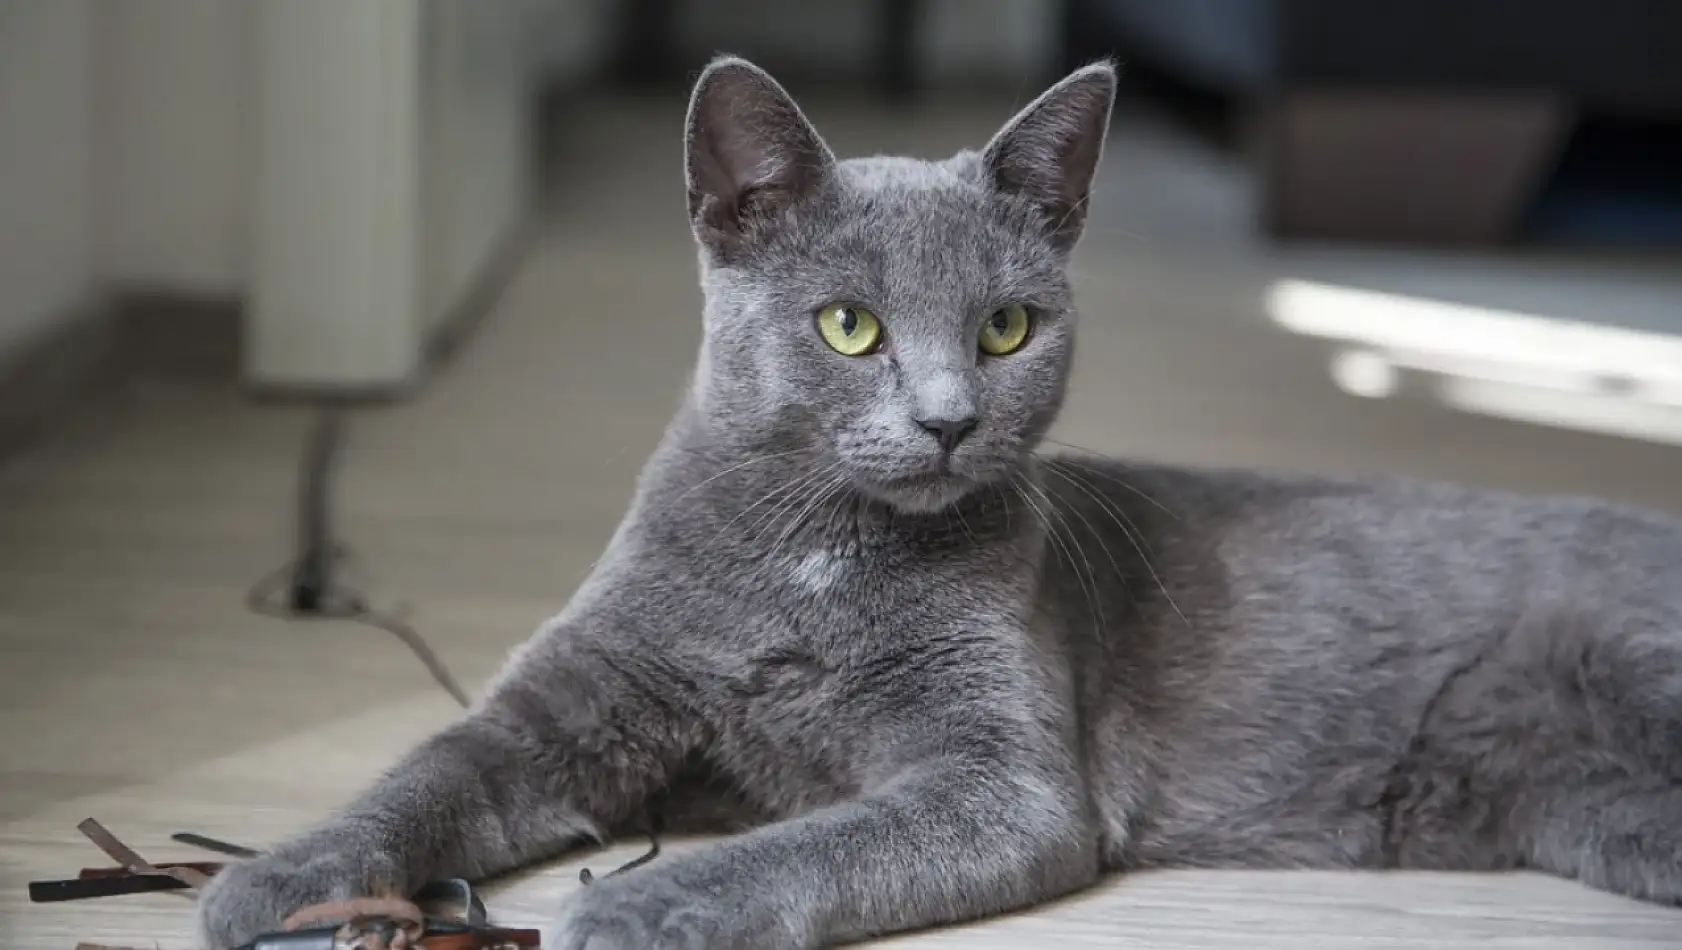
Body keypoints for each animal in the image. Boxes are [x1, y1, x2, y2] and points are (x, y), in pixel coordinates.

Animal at [200, 55, 1682, 941]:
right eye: (848, 326)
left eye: (1008, 326)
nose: (949, 418)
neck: (811, 561)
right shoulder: (577, 693)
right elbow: (430, 767)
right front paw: (271, 878)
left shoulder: (1002, 778)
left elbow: (816, 838)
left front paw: (641, 900)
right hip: (1590, 804)